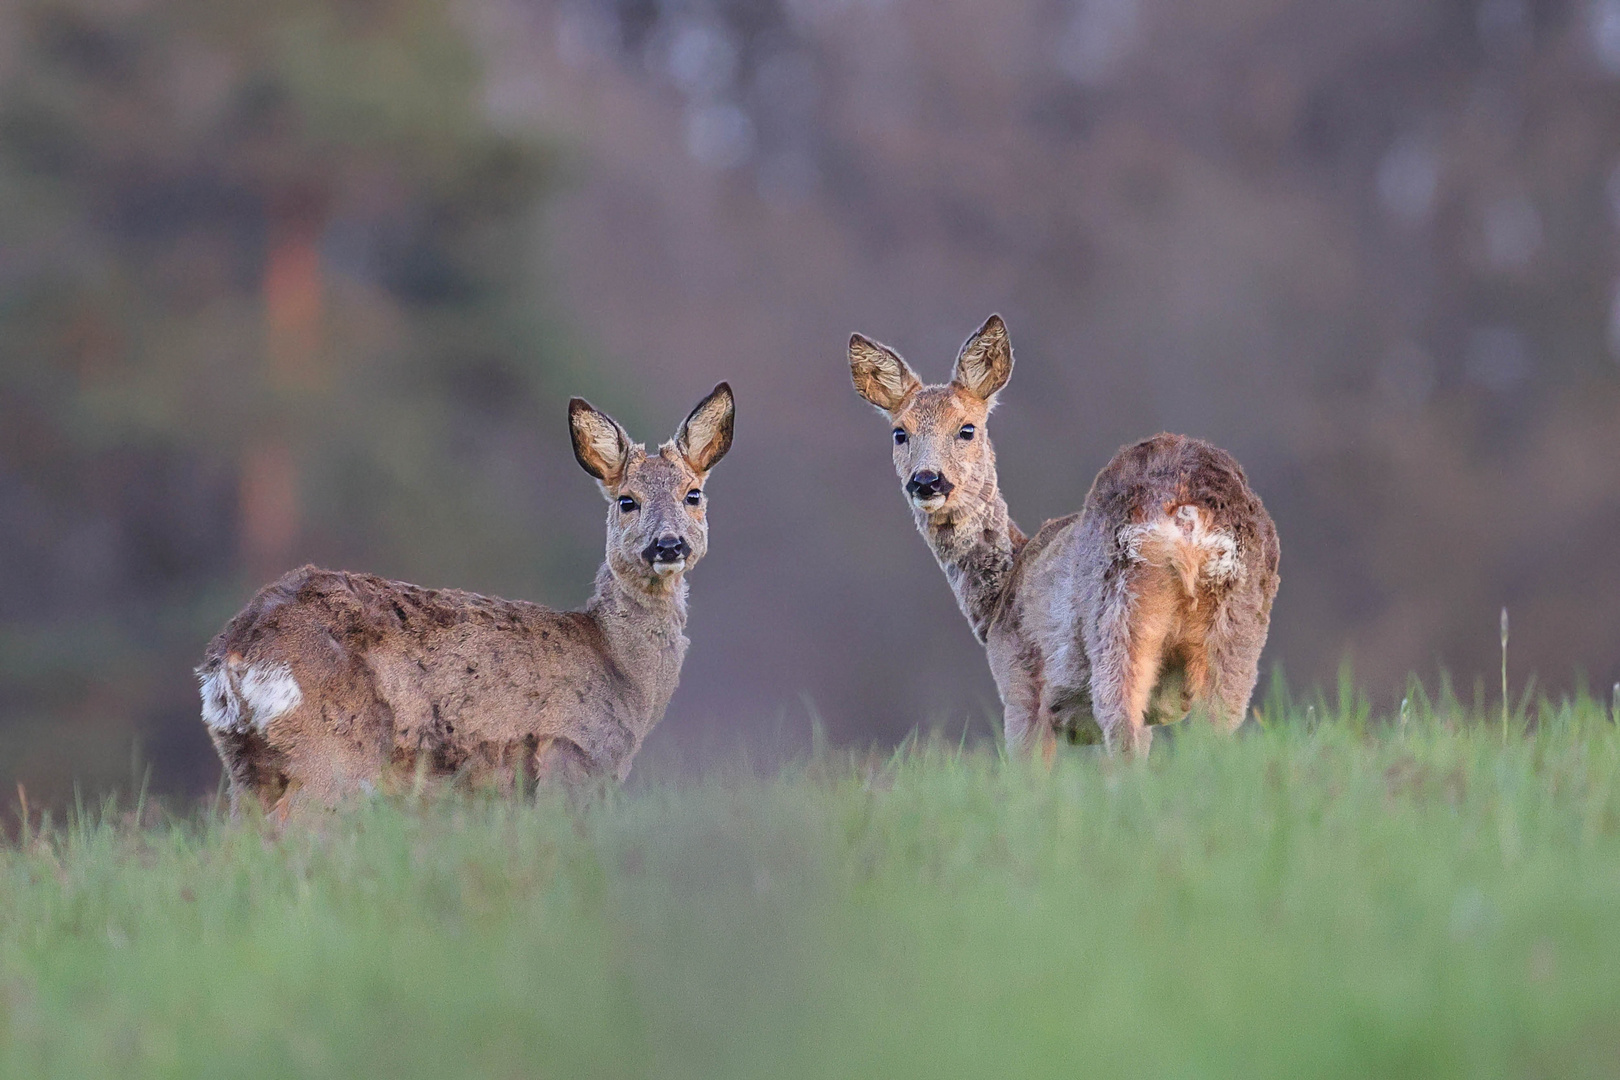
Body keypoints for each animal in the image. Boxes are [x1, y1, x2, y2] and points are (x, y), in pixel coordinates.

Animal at [191, 383, 741, 816]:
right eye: (628, 501)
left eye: (693, 494)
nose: (668, 545)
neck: (621, 671)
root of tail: (234, 652)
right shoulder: (569, 756)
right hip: (332, 755)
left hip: (247, 770)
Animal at [848, 318, 1276, 761]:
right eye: (900, 433)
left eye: (966, 428)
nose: (927, 480)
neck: (999, 595)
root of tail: (1187, 513)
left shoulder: (1019, 685)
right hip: (1242, 621)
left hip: (1118, 611)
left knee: (1123, 731)